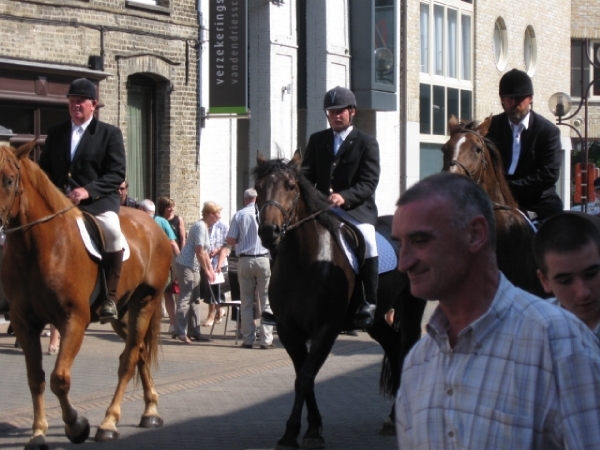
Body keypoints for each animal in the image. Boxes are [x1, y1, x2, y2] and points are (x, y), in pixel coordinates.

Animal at [0, 142, 173, 448]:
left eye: (9, 180)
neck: (38, 248)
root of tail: (152, 224)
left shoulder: (74, 320)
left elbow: (59, 378)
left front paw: (76, 425)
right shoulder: (24, 324)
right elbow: (36, 378)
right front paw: (38, 433)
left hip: (146, 302)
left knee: (128, 360)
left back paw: (109, 423)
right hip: (122, 315)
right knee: (139, 351)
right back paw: (150, 411)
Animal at [253, 152, 426, 450]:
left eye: (290, 186)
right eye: (258, 187)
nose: (269, 232)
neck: (304, 262)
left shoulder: (326, 328)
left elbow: (305, 377)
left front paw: (296, 434)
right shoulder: (289, 331)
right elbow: (304, 377)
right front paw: (309, 429)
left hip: (412, 308)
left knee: (406, 351)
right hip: (376, 319)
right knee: (393, 347)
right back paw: (392, 419)